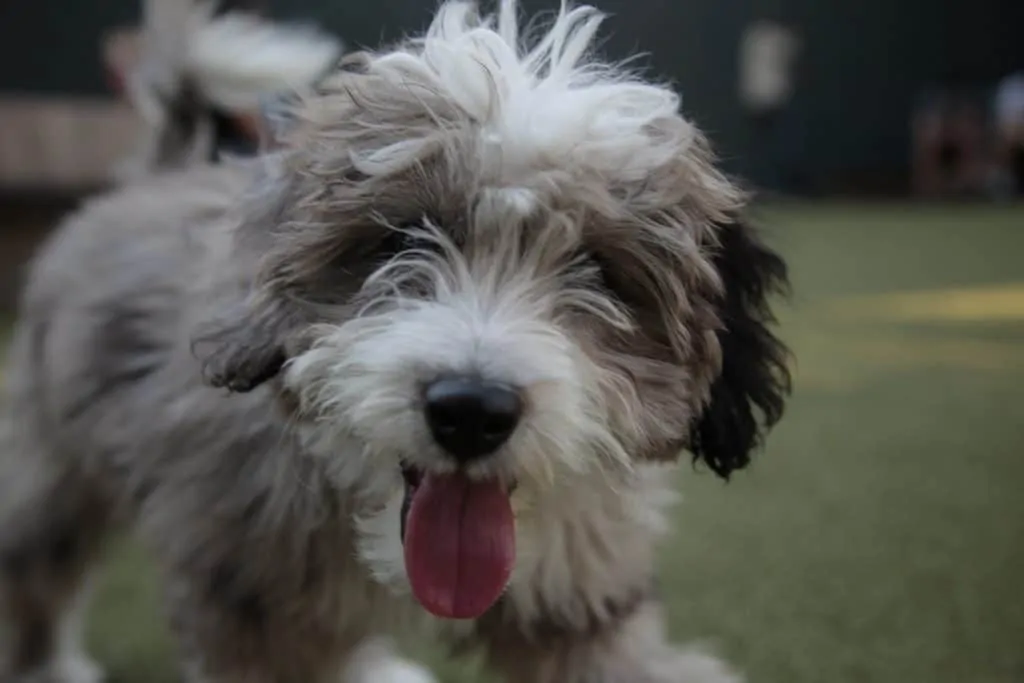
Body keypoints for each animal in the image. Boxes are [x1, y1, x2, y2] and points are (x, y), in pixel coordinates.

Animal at [0, 1, 790, 683]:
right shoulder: (247, 592)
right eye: (400, 240)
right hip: (51, 460)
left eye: (598, 269)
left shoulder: (580, 595)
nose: (471, 410)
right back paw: (50, 665)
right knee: (38, 561)